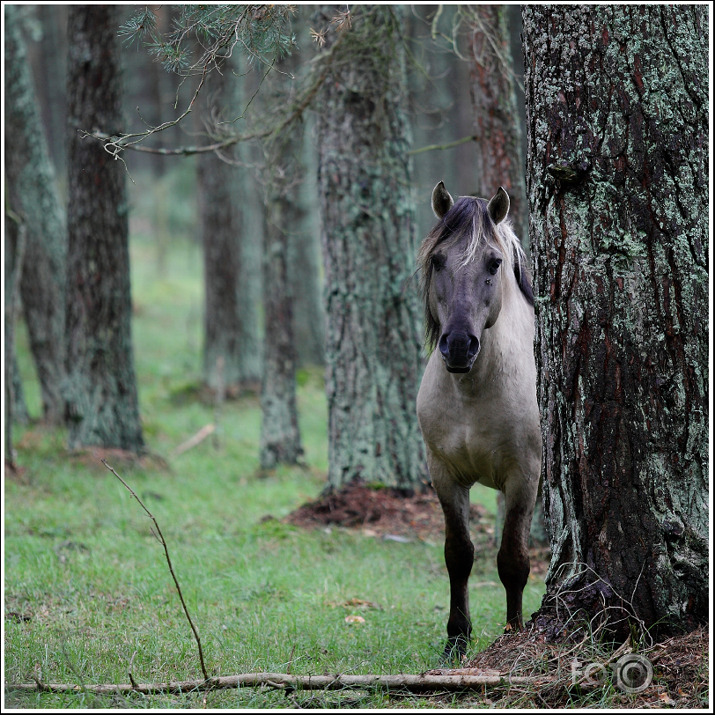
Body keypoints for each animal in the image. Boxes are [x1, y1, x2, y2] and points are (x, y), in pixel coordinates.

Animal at [414, 180, 544, 660]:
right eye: (438, 260)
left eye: (494, 262)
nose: (457, 345)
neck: (472, 391)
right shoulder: (445, 474)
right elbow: (459, 554)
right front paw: (456, 639)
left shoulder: (524, 476)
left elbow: (513, 560)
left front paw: (514, 632)